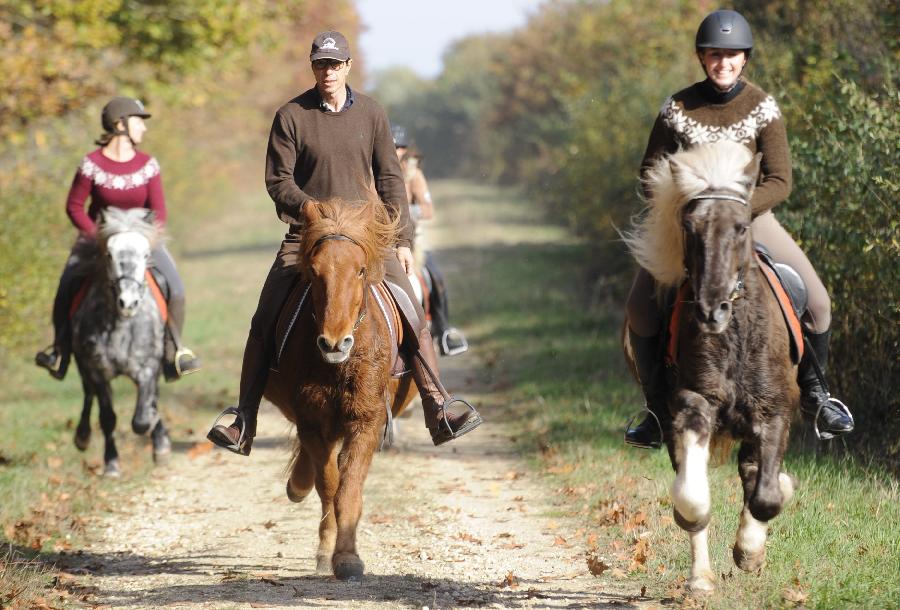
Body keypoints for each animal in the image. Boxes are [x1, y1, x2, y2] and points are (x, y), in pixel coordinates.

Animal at [71, 207, 171, 472]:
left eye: (146, 254)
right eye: (109, 255)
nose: (128, 303)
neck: (120, 328)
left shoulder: (147, 368)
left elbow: (142, 418)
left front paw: (159, 441)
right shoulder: (98, 372)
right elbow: (108, 418)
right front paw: (111, 464)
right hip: (83, 366)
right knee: (87, 394)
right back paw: (82, 437)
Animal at [260, 196, 414, 580]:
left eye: (360, 270)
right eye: (314, 272)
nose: (334, 343)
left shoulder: (367, 423)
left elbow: (348, 488)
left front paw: (346, 557)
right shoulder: (313, 423)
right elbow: (329, 486)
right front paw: (328, 552)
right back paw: (298, 484)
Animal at [620, 141, 800, 588]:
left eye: (741, 227)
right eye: (689, 227)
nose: (710, 311)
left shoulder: (774, 412)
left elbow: (767, 497)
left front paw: (750, 553)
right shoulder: (691, 404)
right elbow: (692, 500)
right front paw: (704, 575)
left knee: (754, 473)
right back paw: (700, 577)